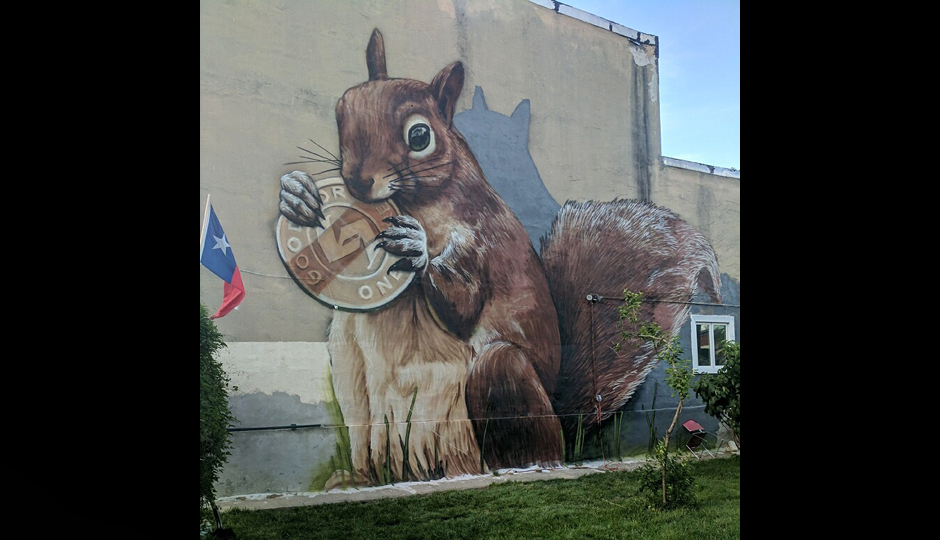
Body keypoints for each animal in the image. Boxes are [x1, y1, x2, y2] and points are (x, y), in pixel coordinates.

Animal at [278, 29, 721, 487]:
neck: (421, 199)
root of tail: (560, 425)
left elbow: (461, 305)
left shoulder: (479, 245)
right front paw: (297, 194)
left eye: (419, 137)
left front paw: (415, 245)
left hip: (498, 374)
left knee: (512, 442)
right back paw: (356, 479)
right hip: (355, 388)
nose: (356, 180)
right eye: (341, 110)